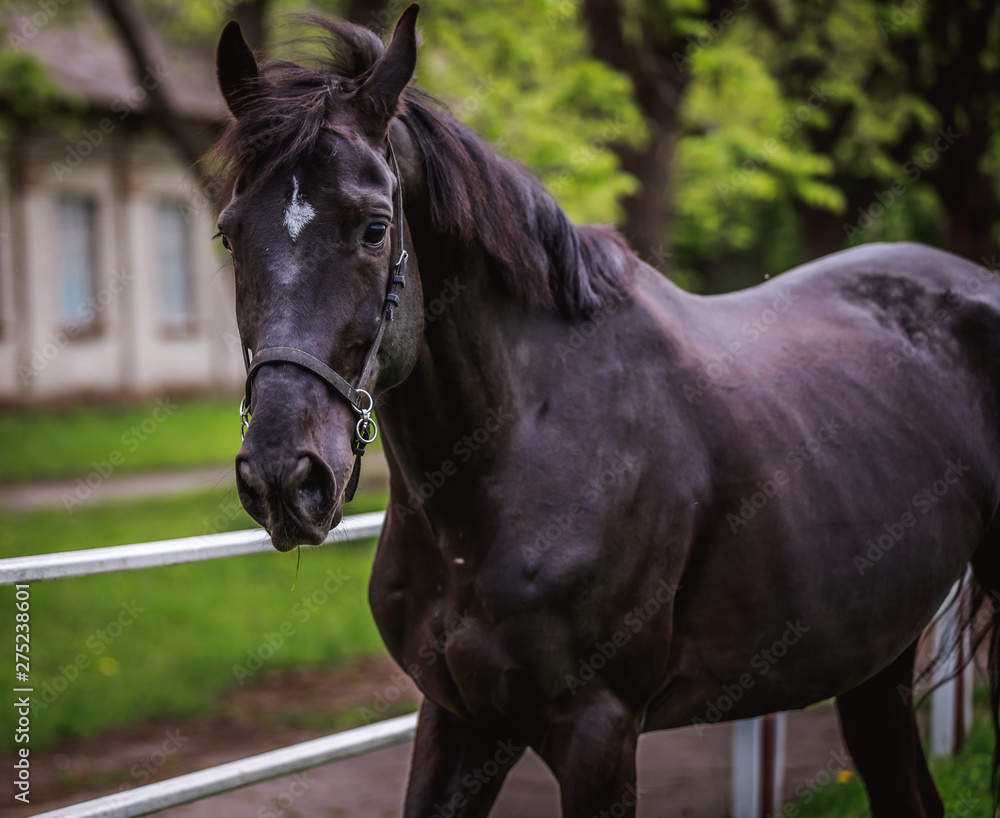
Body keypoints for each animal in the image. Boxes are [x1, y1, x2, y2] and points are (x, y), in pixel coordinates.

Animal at [212, 6, 1000, 816]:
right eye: (229, 233)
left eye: (374, 229)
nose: (283, 477)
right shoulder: (461, 719)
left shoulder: (598, 729)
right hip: (875, 655)